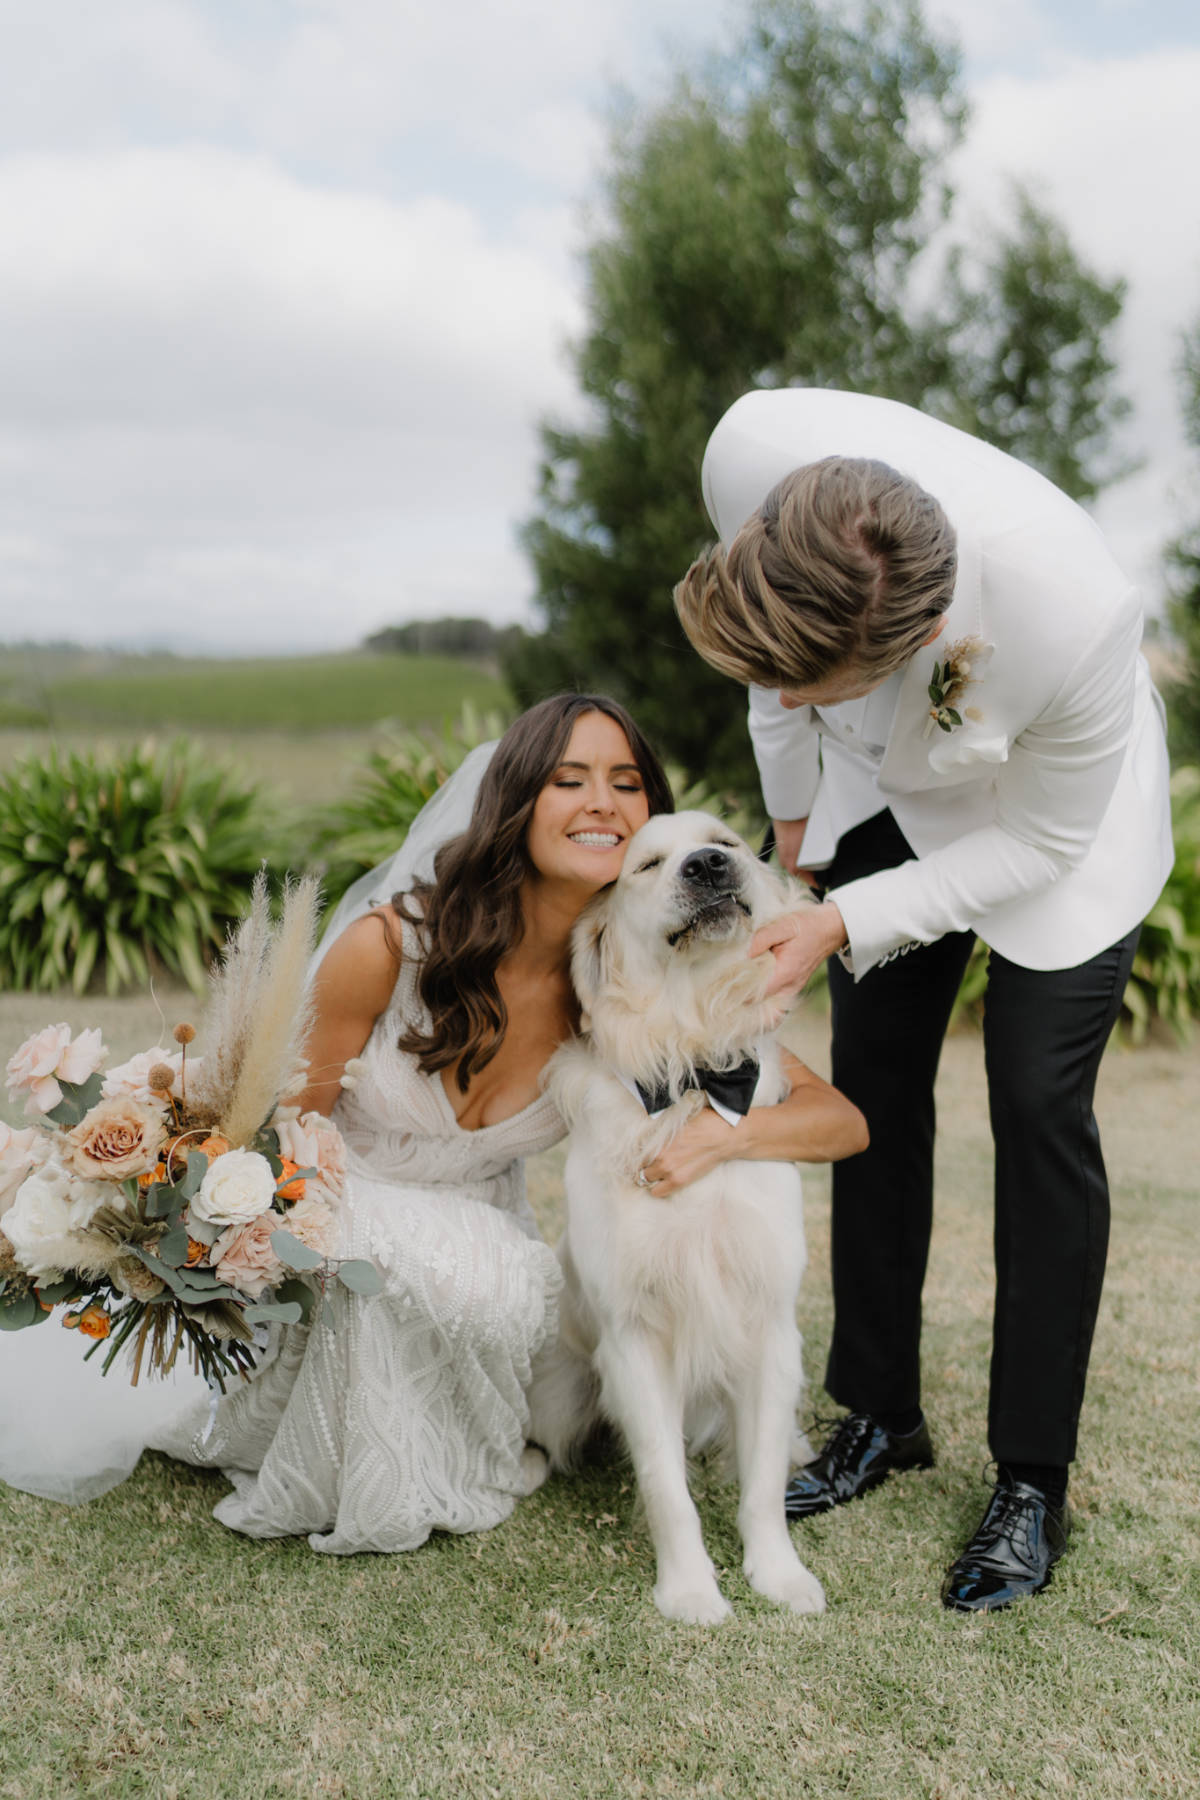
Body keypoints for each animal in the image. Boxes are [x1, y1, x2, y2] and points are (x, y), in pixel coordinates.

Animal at [532, 810, 827, 1627]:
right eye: (645, 865)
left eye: (725, 841)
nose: (706, 868)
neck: (694, 1076)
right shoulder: (634, 1338)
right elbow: (667, 1487)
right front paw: (692, 1589)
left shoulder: (769, 1328)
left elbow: (761, 1484)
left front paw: (778, 1574)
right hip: (562, 1393)